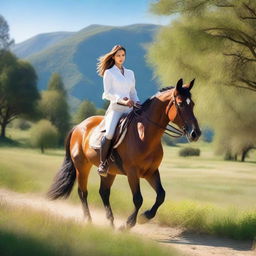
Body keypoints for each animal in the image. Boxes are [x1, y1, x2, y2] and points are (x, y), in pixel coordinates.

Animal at [47, 79, 200, 229]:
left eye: (192, 104)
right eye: (180, 104)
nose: (195, 133)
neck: (144, 134)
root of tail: (78, 126)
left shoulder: (151, 172)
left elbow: (161, 195)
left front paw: (145, 216)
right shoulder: (132, 172)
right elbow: (138, 199)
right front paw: (128, 224)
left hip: (109, 172)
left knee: (104, 192)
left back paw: (110, 222)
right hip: (81, 166)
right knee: (83, 192)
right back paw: (88, 220)